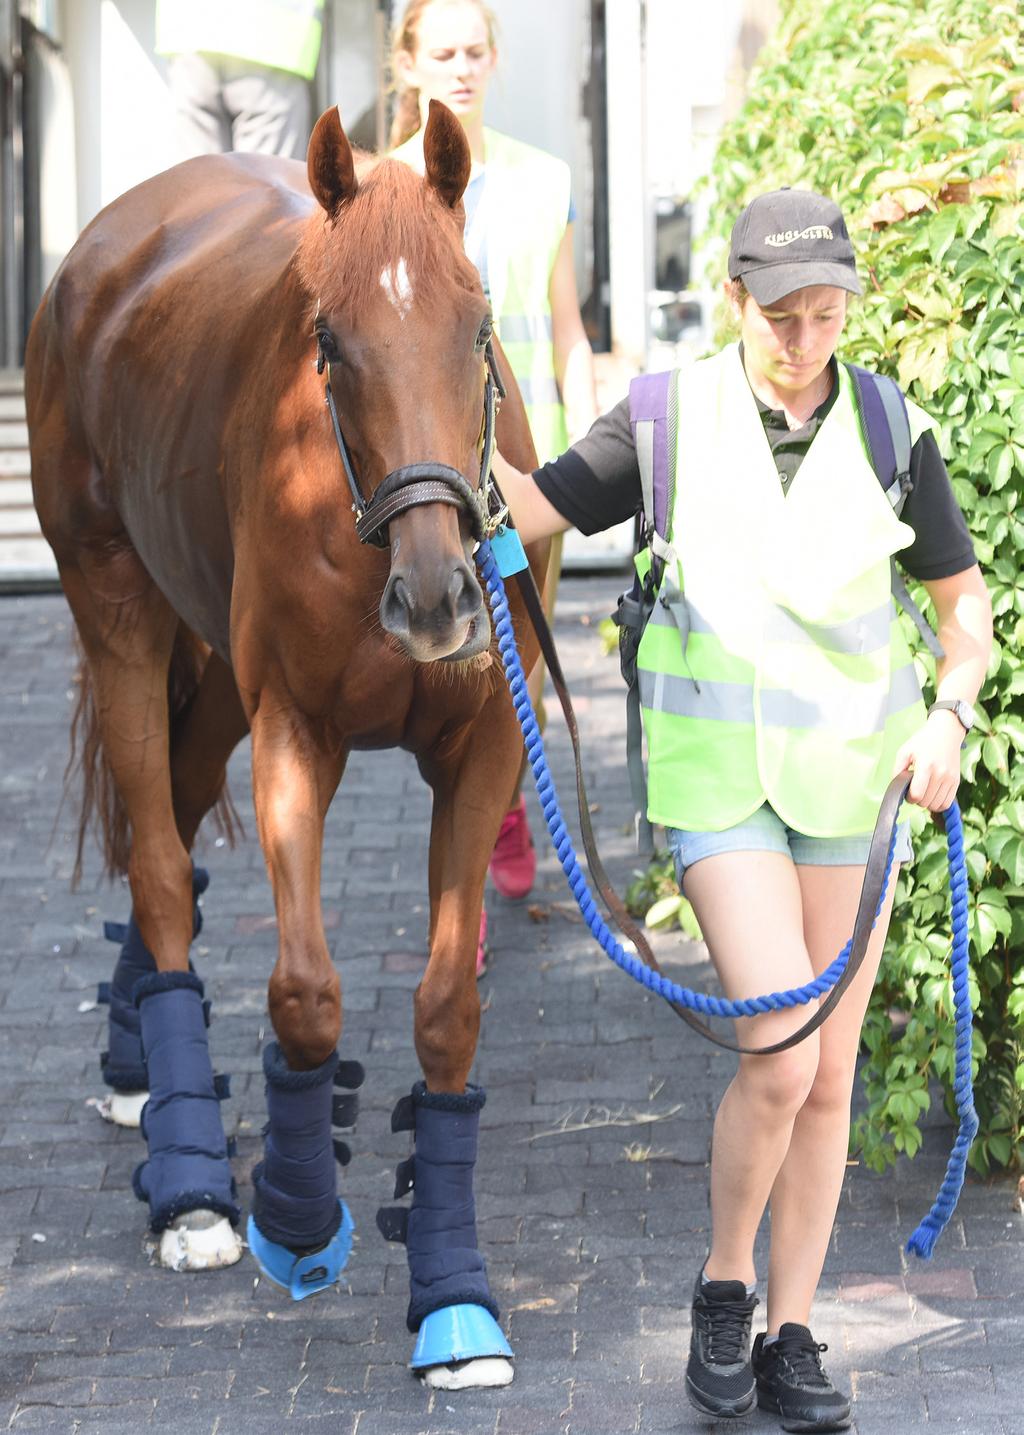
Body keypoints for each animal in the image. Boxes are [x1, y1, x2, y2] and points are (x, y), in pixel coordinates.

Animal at [25, 106, 542, 1383]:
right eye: (331, 342)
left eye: (477, 328)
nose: (437, 598)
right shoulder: (297, 734)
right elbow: (304, 992)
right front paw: (296, 1213)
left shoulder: (485, 747)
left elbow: (446, 1007)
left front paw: (455, 1295)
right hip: (114, 600)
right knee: (159, 862)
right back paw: (192, 1178)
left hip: (211, 660)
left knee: (171, 802)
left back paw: (137, 1067)